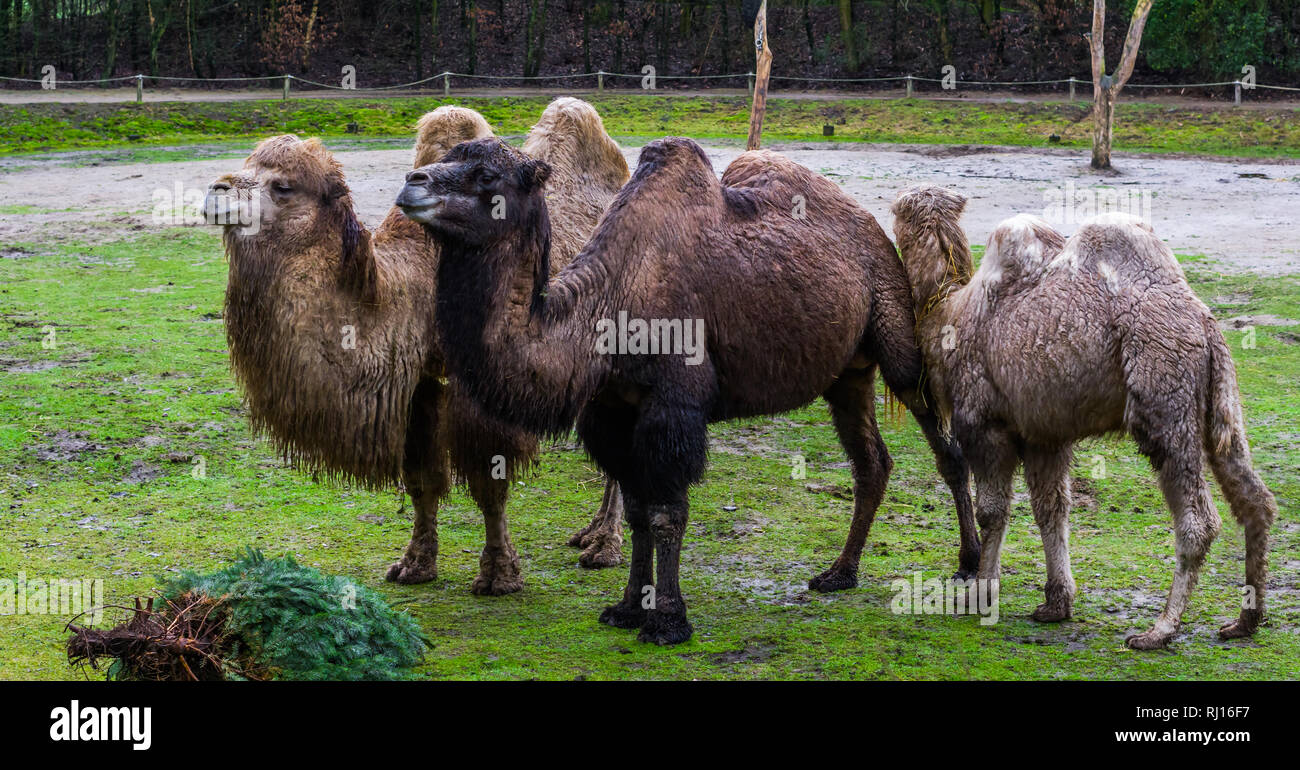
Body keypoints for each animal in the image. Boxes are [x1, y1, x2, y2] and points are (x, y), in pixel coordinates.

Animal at [200, 100, 631, 595]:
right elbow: (421, 481)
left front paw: (499, 574)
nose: (216, 191)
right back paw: (592, 532)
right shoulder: (421, 386)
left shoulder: (477, 386)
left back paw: (605, 546)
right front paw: (415, 564)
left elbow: (489, 484)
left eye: (283, 186)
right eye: (247, 166)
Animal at [395, 136, 977, 642]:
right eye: (450, 157)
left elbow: (666, 512)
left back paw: (968, 567)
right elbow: (636, 512)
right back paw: (840, 572)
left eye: (486, 176)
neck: (604, 314)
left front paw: (669, 621)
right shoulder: (611, 411)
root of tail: (871, 224)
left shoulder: (672, 406)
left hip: (893, 328)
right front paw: (629, 608)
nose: (411, 182)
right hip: (846, 373)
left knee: (943, 444)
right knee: (871, 461)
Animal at [889, 185, 1274, 650]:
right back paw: (1244, 621)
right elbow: (1052, 508)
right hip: (1219, 401)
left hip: (1165, 395)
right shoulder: (1043, 433)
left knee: (1198, 519)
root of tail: (1203, 322)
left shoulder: (983, 422)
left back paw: (1160, 630)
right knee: (1254, 497)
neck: (947, 312)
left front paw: (979, 594)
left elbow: (993, 511)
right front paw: (1056, 604)